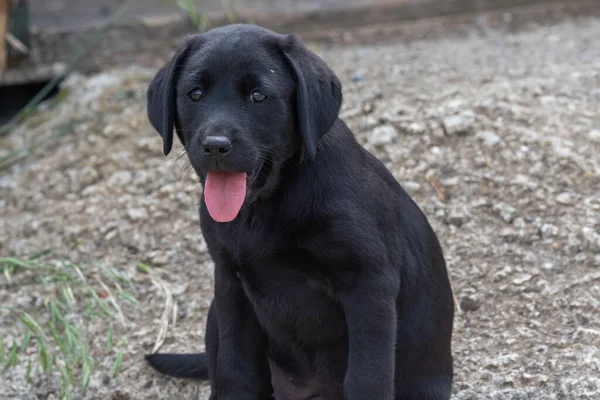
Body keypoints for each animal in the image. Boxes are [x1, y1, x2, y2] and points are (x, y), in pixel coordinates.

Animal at [146, 24, 454, 400]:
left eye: (259, 96)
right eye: (195, 93)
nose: (215, 146)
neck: (266, 206)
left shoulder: (369, 286)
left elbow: (368, 376)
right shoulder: (229, 281)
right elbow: (236, 368)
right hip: (215, 315)